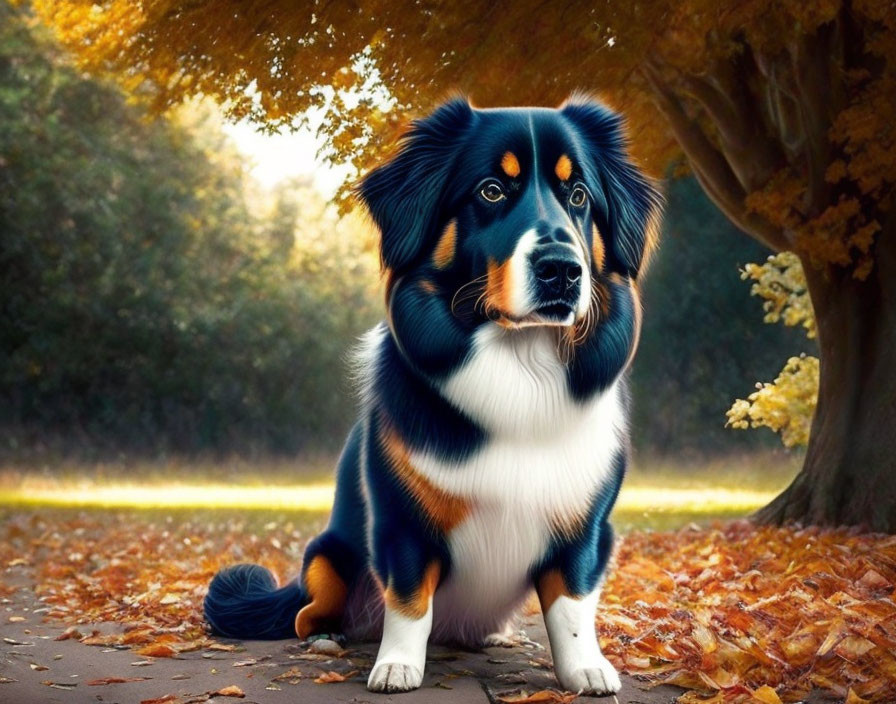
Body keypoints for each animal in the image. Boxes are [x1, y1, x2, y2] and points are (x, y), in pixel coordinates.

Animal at [206, 96, 660, 696]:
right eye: (491, 190)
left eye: (579, 195)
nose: (563, 271)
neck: (521, 368)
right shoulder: (402, 522)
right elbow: (408, 601)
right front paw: (397, 665)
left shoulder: (585, 529)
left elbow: (571, 607)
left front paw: (586, 668)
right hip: (325, 558)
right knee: (309, 611)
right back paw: (329, 637)